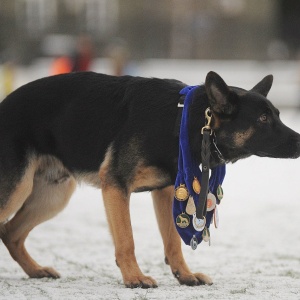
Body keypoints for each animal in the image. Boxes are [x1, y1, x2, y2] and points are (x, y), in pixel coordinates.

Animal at [0, 71, 298, 288]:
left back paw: (36, 270)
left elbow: (173, 241)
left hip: (53, 197)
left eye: (276, 115)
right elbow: (126, 240)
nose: (299, 140)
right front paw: (134, 277)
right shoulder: (116, 186)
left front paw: (184, 275)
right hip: (18, 190)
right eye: (263, 118)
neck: (182, 119)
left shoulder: (166, 191)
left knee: (11, 233)